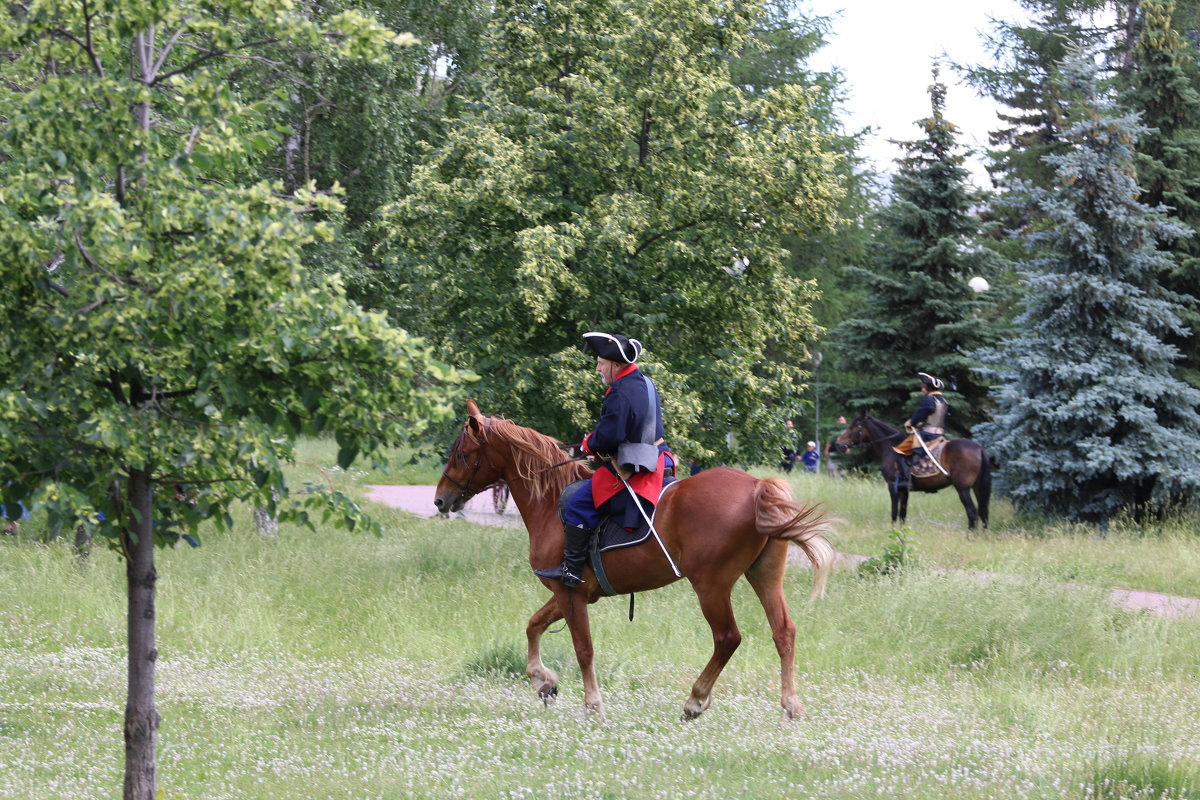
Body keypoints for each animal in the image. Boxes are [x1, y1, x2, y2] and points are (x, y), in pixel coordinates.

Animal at [432, 402, 835, 724]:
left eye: (463, 455)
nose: (440, 500)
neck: (550, 502)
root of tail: (755, 487)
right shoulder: (570, 593)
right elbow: (534, 625)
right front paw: (543, 681)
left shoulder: (569, 592)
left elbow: (583, 648)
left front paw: (592, 705)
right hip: (764, 575)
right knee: (783, 632)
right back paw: (790, 705)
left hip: (711, 585)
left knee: (727, 638)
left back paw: (695, 700)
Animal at [835, 412, 993, 532]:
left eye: (855, 426)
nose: (838, 443)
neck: (890, 447)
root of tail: (978, 448)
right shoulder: (904, 490)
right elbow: (903, 513)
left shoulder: (892, 486)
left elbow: (894, 511)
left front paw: (892, 530)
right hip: (977, 488)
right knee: (983, 511)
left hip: (962, 489)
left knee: (972, 512)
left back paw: (969, 537)